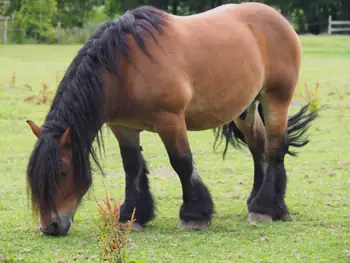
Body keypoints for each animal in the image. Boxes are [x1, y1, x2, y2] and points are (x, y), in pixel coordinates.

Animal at [26, 2, 318, 237]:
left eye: (63, 172)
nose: (50, 227)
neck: (125, 67)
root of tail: (278, 18)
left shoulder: (170, 120)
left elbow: (181, 162)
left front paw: (193, 215)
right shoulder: (123, 127)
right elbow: (132, 167)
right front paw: (132, 216)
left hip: (276, 98)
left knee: (275, 147)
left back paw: (265, 207)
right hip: (246, 108)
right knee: (259, 147)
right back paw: (261, 201)